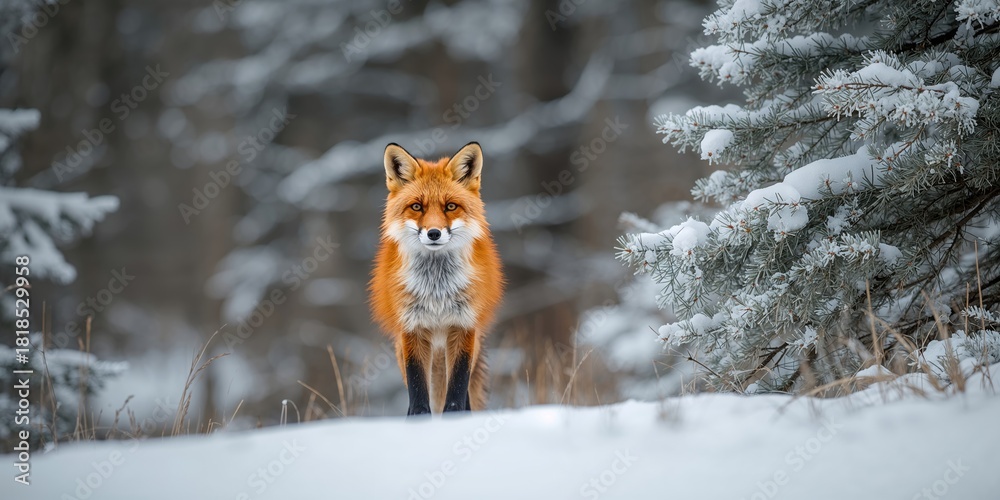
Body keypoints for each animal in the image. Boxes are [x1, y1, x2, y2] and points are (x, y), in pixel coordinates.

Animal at [369, 141, 504, 415]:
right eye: (417, 206)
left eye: (450, 206)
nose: (433, 233)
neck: (436, 291)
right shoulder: (412, 330)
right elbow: (419, 396)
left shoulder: (464, 327)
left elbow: (456, 394)